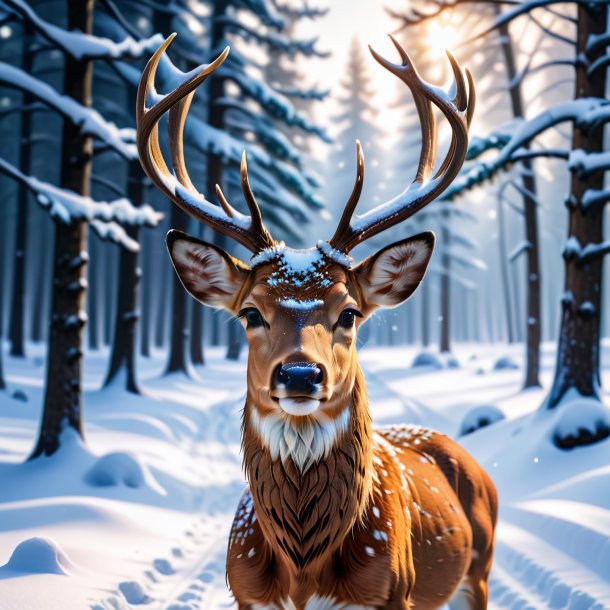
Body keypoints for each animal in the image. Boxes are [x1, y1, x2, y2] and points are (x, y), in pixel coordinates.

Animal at [137, 32, 494, 608]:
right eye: (250, 313)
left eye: (349, 312)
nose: (301, 374)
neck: (303, 573)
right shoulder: (246, 594)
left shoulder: (392, 594)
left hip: (477, 571)